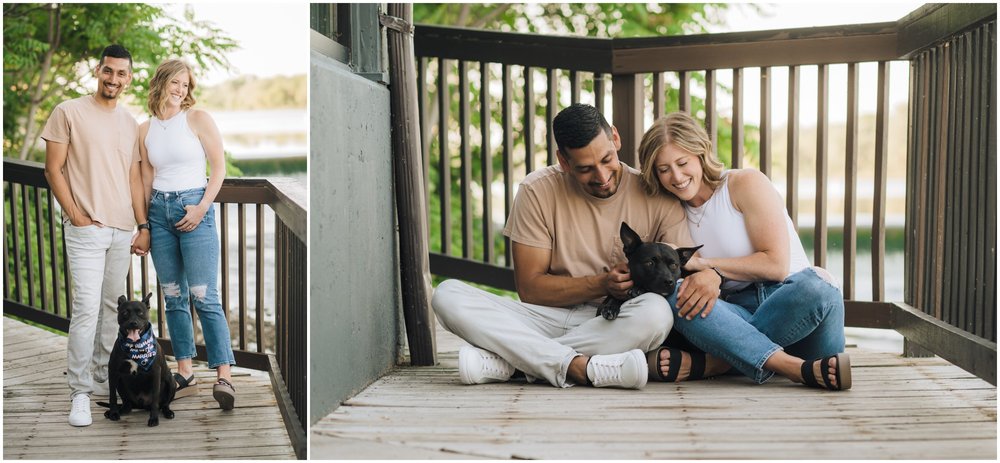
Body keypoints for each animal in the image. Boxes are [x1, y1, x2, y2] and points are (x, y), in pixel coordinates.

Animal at [105, 294, 178, 428]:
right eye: (125, 313)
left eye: (140, 313)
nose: (133, 323)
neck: (135, 346)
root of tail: (141, 404)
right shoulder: (113, 371)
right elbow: (112, 396)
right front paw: (113, 413)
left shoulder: (156, 373)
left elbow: (155, 400)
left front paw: (154, 418)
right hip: (120, 383)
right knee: (127, 405)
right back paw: (118, 411)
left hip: (171, 381)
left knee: (164, 404)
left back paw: (168, 412)